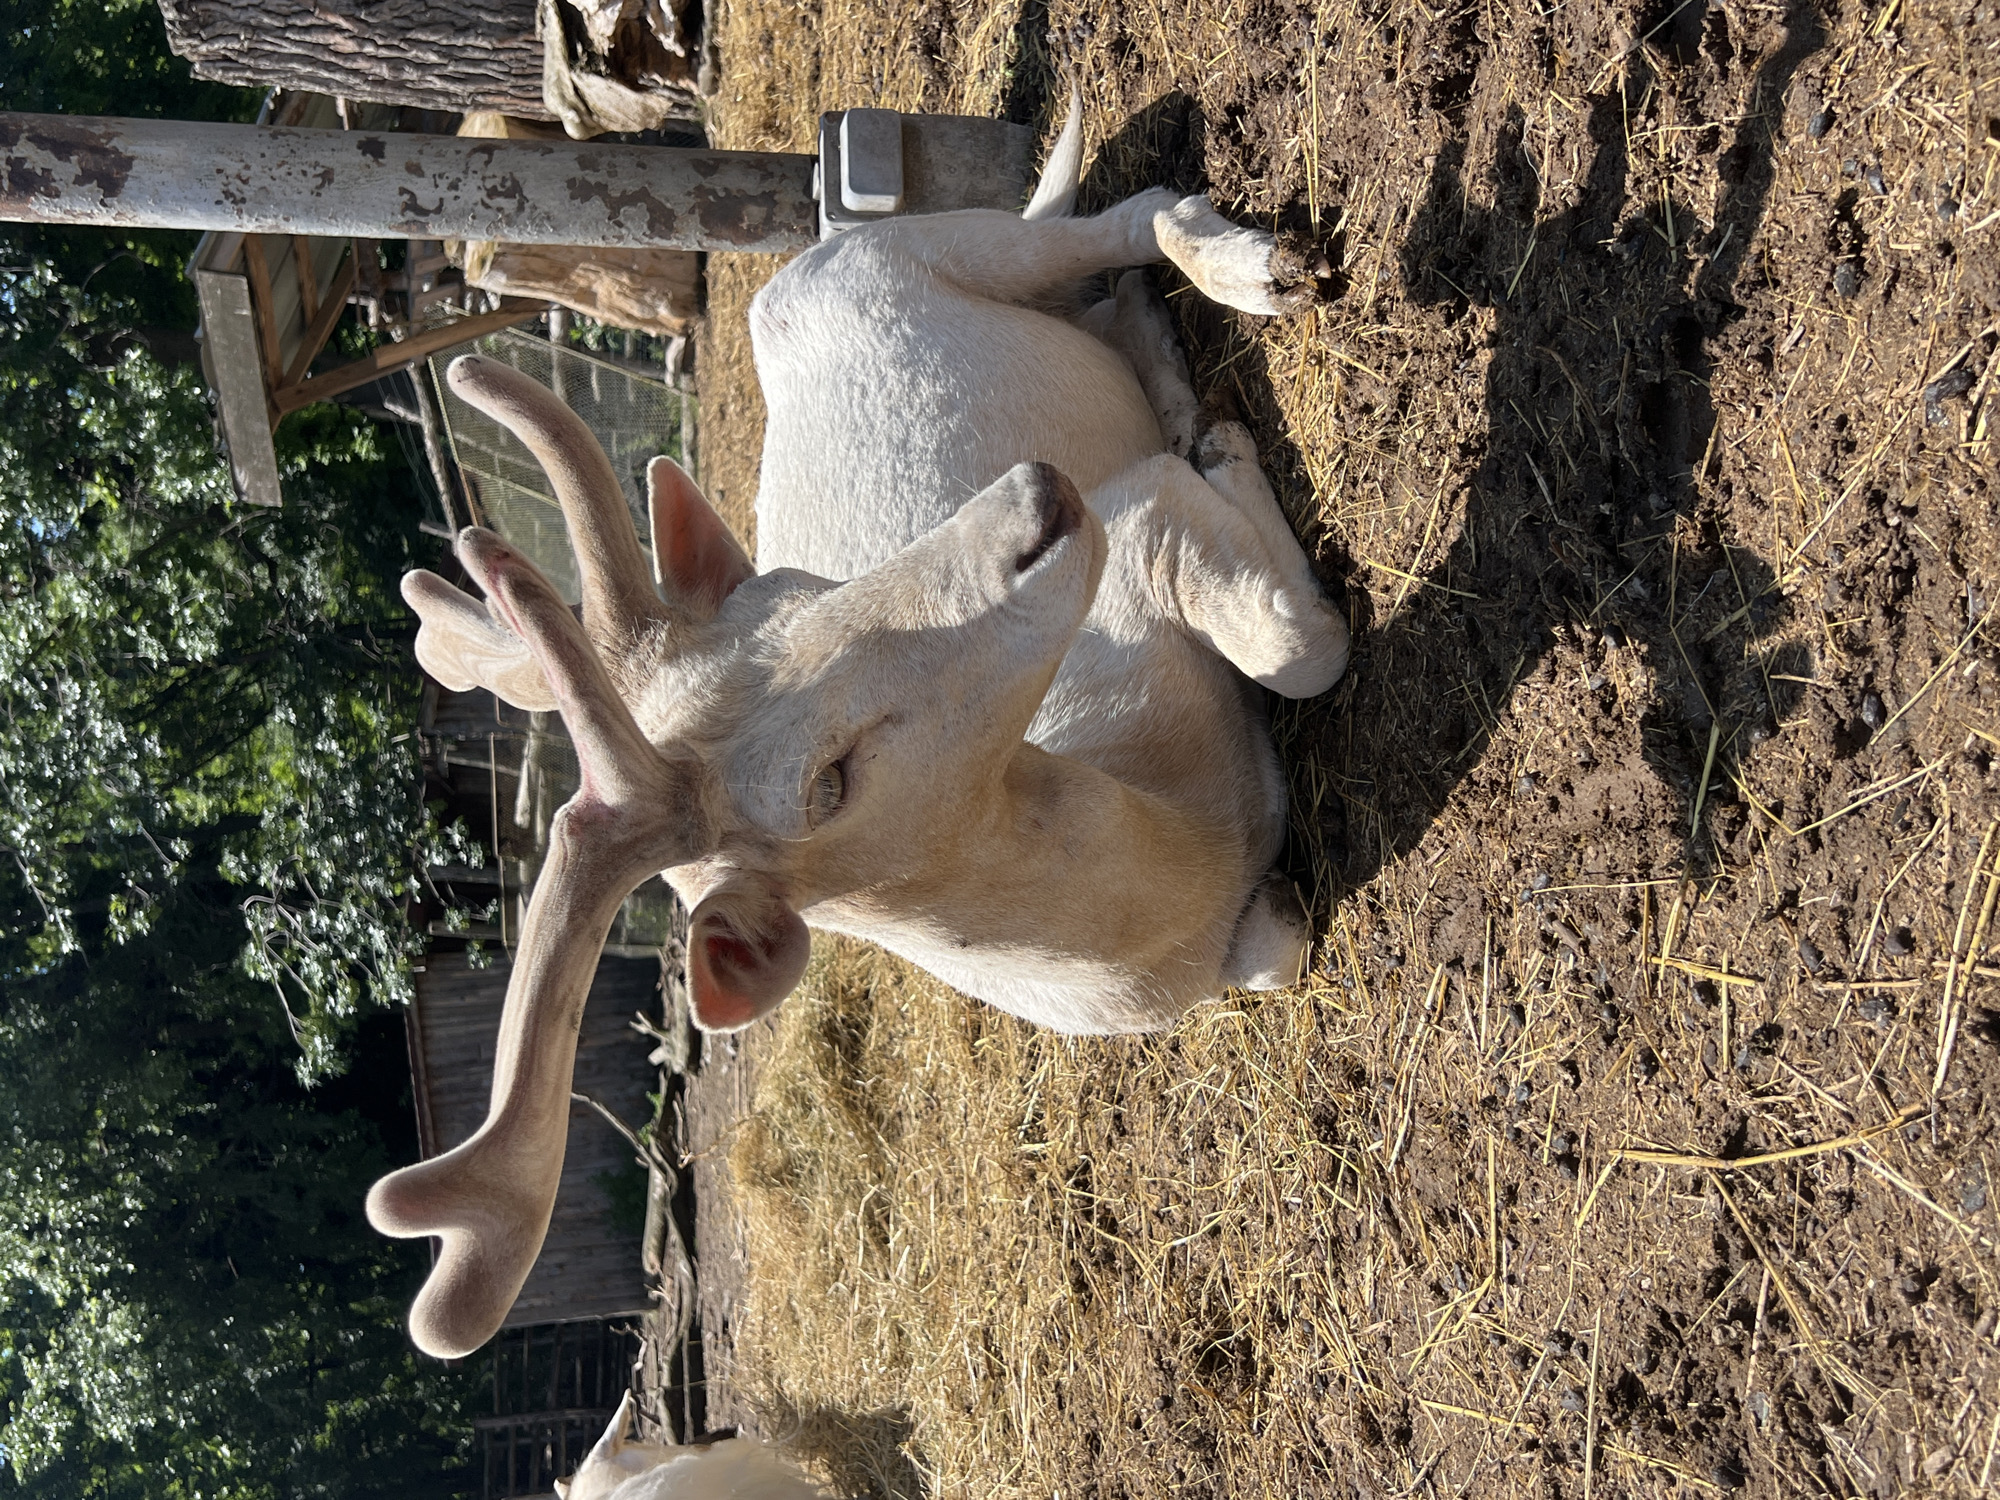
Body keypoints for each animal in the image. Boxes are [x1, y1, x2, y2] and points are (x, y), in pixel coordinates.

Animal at [367, 99, 1351, 1359]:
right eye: (822, 783)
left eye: (801, 591)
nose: (1032, 498)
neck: (1183, 847)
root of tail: (782, 287)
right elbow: (1282, 913)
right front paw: (1216, 438)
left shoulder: (1131, 524)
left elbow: (1301, 654)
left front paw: (1223, 443)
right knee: (1102, 273)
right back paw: (1165, 349)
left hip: (927, 245)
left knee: (1121, 215)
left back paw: (1251, 279)